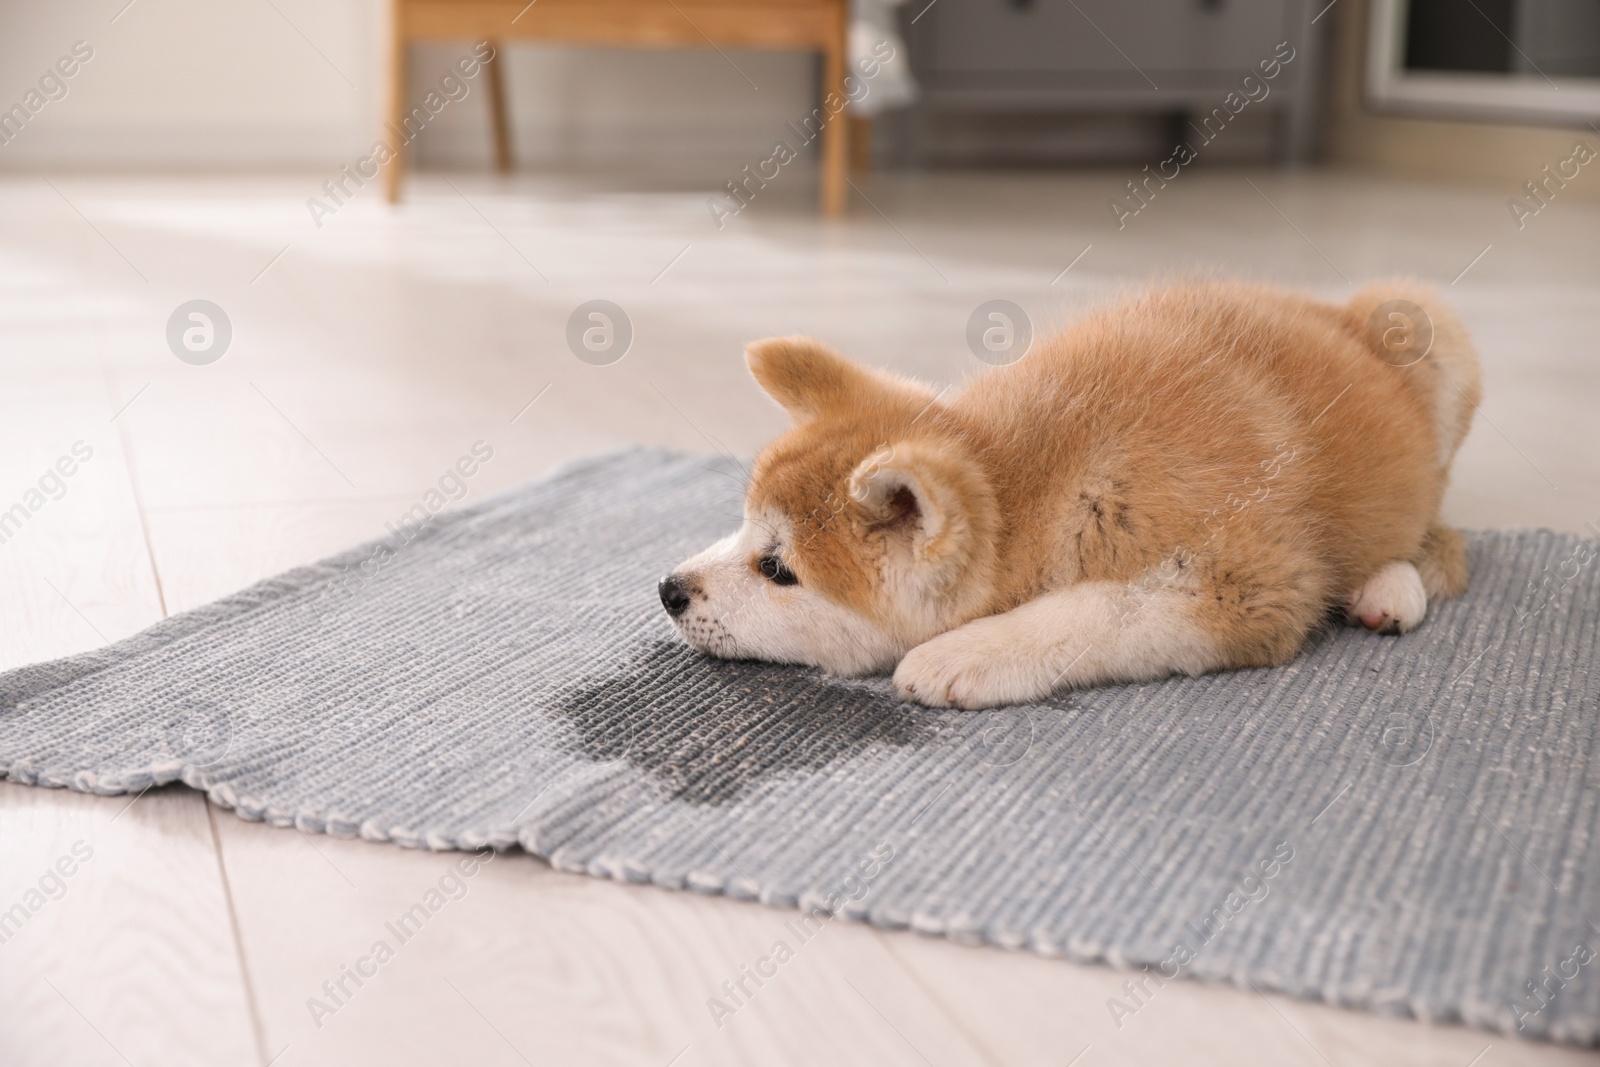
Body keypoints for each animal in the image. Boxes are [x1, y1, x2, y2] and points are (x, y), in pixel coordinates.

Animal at [656, 281, 1478, 710]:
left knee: (1440, 527)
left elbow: (1096, 609)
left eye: (778, 569)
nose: (667, 589)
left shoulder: (1254, 583)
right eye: (742, 525)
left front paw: (967, 652)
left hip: (1433, 326)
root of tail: (1335, 307)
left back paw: (1392, 583)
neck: (1046, 478)